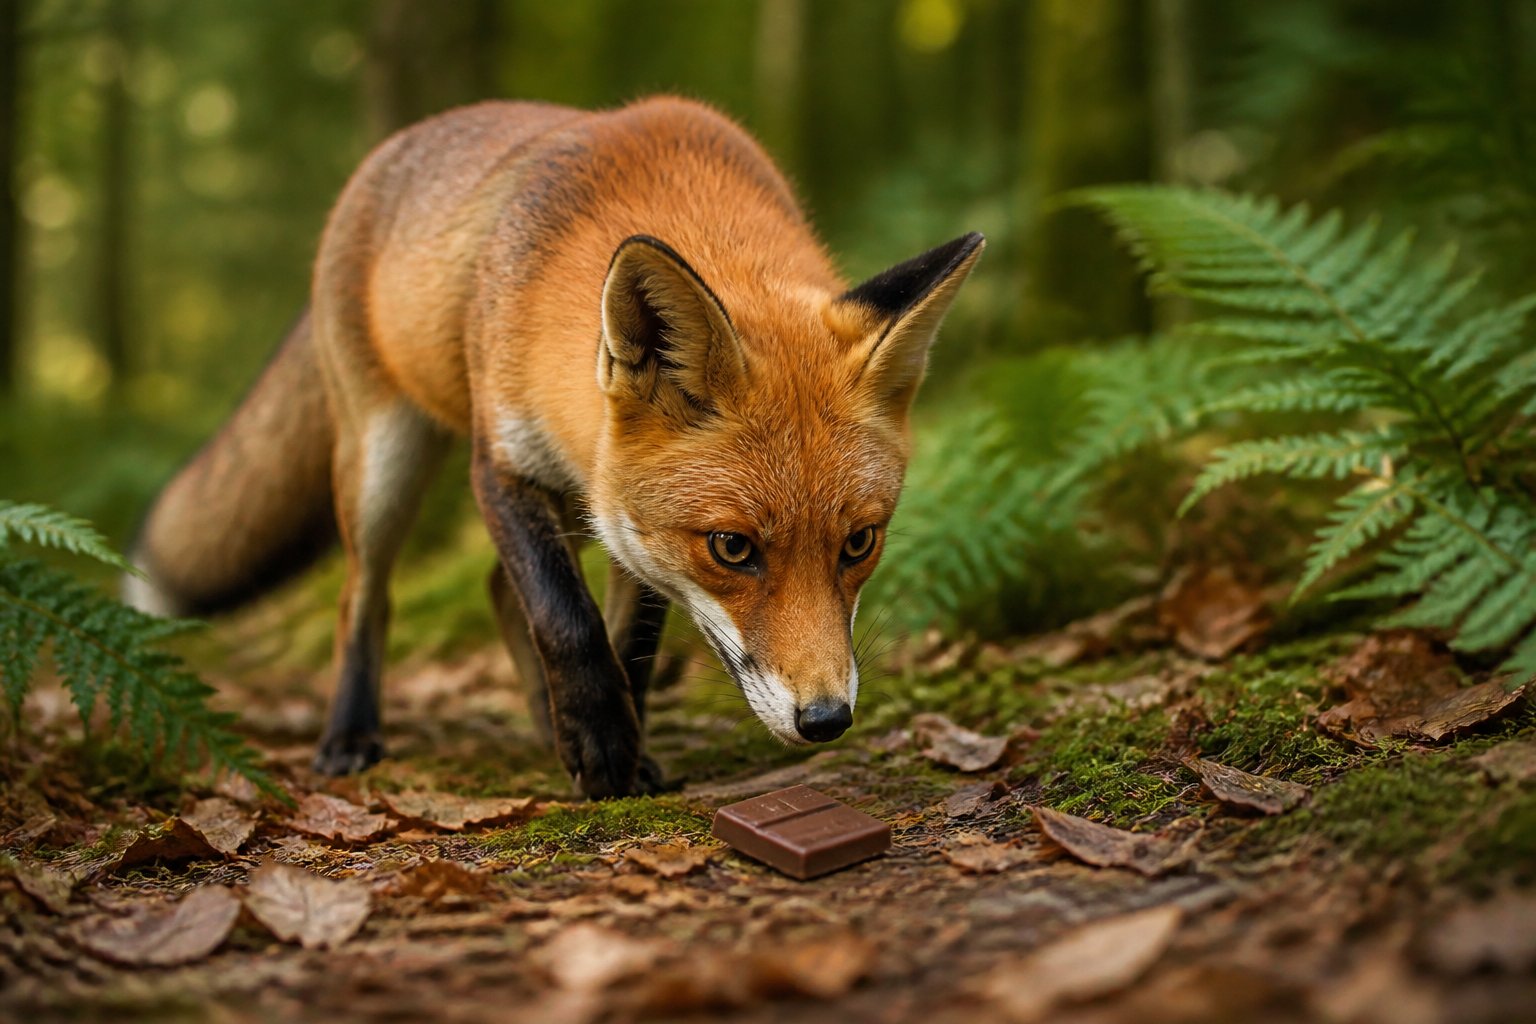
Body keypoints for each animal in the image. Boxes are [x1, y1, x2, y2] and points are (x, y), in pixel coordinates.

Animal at [126, 96, 983, 798]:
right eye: (733, 548)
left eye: (859, 543)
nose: (827, 719)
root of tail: (389, 152)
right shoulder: (501, 466)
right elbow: (565, 617)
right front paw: (603, 750)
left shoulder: (629, 520)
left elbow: (627, 642)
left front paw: (621, 749)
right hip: (384, 460)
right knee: (364, 596)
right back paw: (352, 734)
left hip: (573, 497)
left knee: (495, 589)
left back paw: (546, 726)